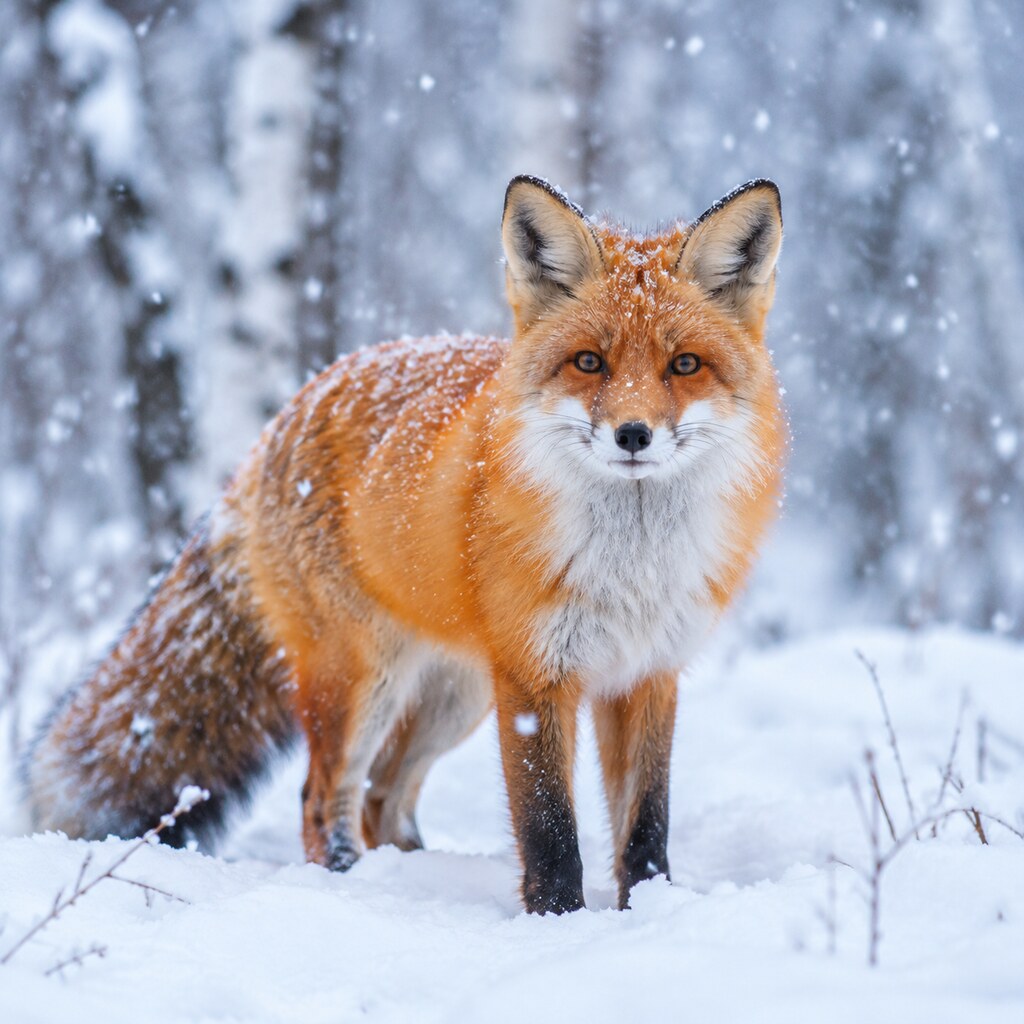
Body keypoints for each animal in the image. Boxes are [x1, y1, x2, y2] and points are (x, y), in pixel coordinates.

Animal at [25, 175, 785, 914]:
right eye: (589, 362)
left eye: (684, 364)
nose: (632, 434)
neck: (632, 569)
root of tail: (286, 415)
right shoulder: (535, 678)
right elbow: (547, 828)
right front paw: (556, 922)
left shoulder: (649, 674)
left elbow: (645, 826)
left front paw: (648, 909)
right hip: (365, 680)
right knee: (324, 798)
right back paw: (348, 886)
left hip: (454, 697)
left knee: (382, 797)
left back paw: (416, 874)